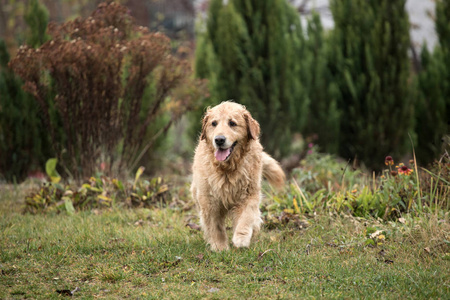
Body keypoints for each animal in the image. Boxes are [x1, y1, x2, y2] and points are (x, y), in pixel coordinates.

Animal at [191, 101, 284, 251]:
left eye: (232, 123)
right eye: (214, 123)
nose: (219, 140)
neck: (227, 169)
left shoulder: (249, 194)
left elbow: (246, 217)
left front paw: (241, 238)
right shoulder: (209, 200)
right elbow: (215, 226)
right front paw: (219, 246)